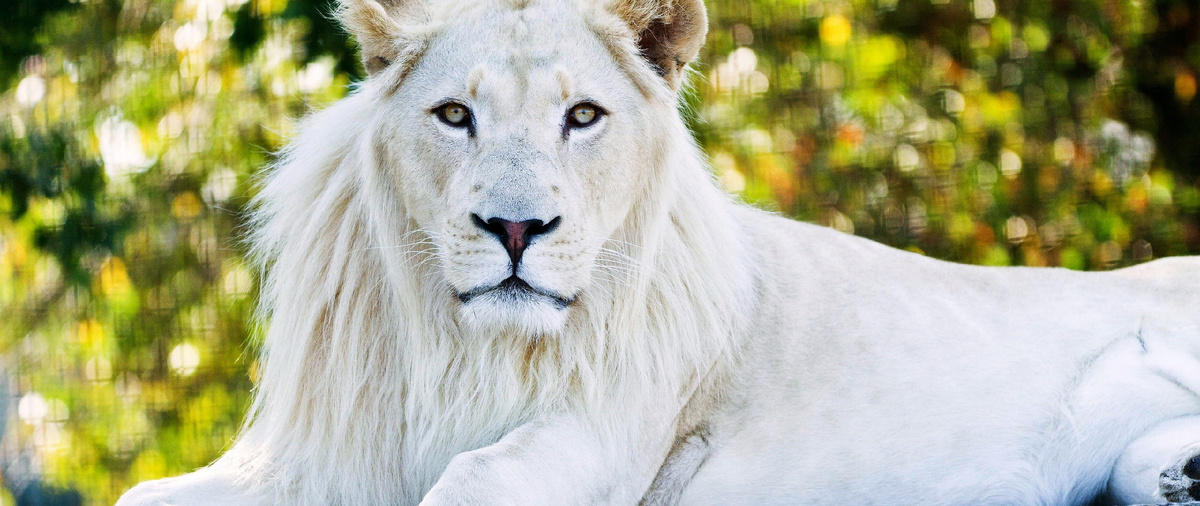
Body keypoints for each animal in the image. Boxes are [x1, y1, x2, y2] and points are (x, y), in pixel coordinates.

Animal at [116, 0, 1200, 504]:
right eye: (456, 114)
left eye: (583, 116)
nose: (517, 230)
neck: (465, 350)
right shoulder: (324, 456)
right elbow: (141, 492)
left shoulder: (604, 437)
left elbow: (470, 478)